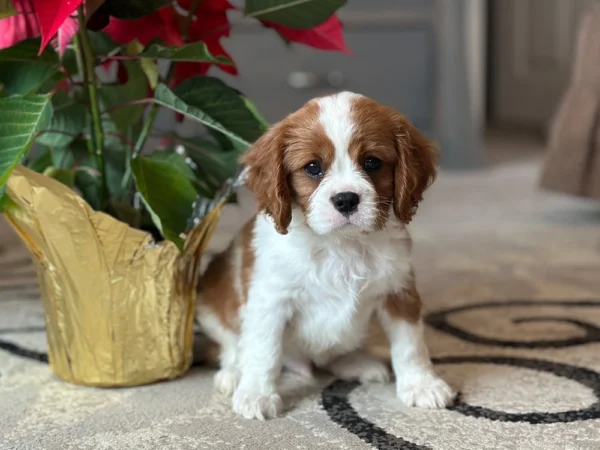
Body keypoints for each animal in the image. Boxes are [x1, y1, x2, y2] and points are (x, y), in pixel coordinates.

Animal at [197, 90, 454, 418]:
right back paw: (232, 374)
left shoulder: (399, 291)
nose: (345, 200)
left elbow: (411, 344)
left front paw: (422, 384)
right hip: (211, 309)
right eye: (312, 167)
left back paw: (356, 362)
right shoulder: (271, 300)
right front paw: (256, 393)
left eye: (372, 162)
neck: (341, 244)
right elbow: (263, 350)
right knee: (230, 348)